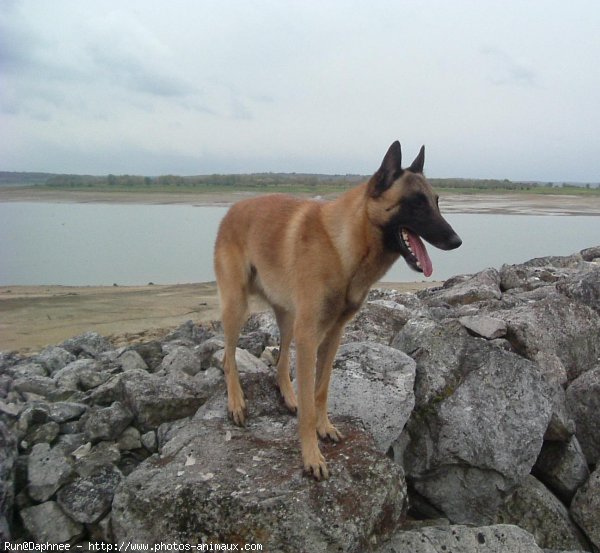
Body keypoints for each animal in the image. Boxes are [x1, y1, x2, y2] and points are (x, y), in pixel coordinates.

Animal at [213, 142, 462, 478]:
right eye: (416, 204)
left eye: (435, 202)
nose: (456, 241)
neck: (343, 247)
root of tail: (231, 209)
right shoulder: (309, 337)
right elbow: (308, 404)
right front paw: (311, 456)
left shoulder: (331, 336)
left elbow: (320, 391)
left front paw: (324, 427)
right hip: (237, 308)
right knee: (228, 358)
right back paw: (236, 402)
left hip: (288, 319)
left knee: (281, 362)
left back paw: (287, 395)